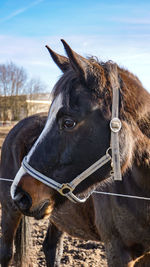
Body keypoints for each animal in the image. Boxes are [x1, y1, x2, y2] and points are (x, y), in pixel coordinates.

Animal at [1, 40, 150, 267]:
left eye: (68, 122)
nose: (20, 194)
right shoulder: (118, 250)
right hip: (9, 211)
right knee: (7, 253)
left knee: (52, 248)